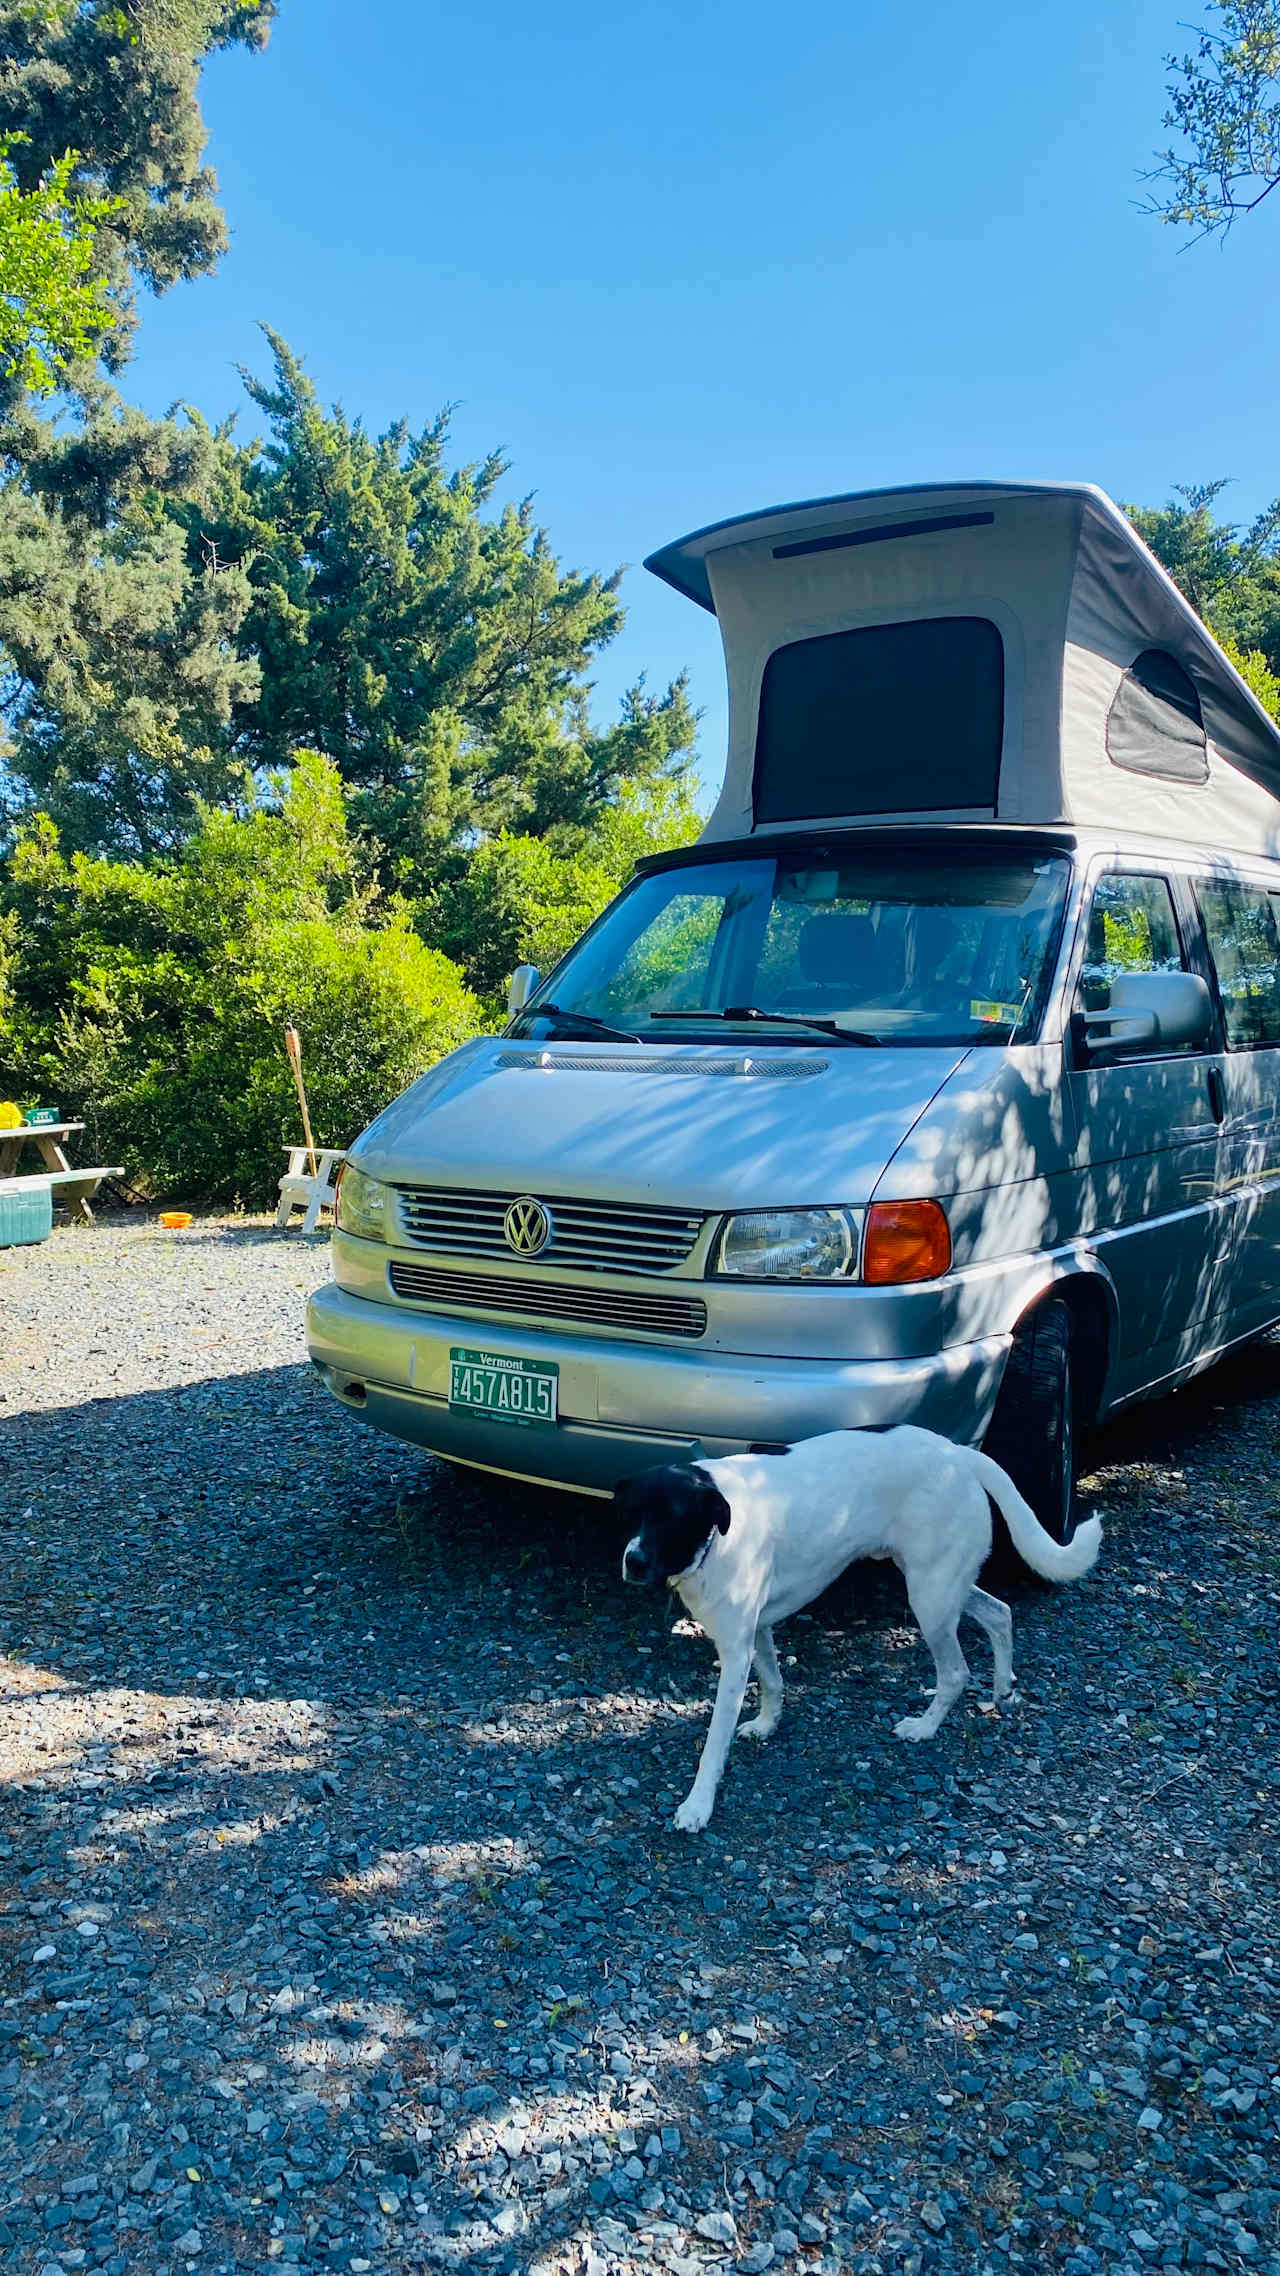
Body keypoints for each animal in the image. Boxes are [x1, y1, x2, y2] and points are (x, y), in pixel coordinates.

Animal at [614, 1429, 1097, 1839]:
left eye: (673, 1519)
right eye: (631, 1514)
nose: (632, 1562)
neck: (717, 1534)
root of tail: (958, 1454)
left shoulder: (734, 1652)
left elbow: (714, 1743)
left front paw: (697, 1806)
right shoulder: (759, 1629)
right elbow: (773, 1681)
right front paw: (768, 1724)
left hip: (930, 1596)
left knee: (957, 1671)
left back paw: (924, 1727)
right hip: (943, 1584)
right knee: (1000, 1613)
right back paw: (1003, 1688)